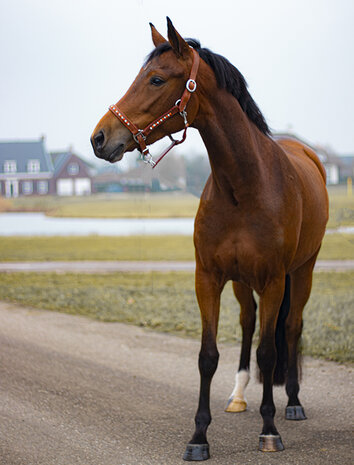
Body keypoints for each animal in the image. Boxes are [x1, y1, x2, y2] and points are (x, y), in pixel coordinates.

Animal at [90, 18, 328, 460]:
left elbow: (269, 353)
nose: (99, 137)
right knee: (249, 323)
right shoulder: (209, 278)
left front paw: (269, 430)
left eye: (156, 79)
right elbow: (208, 355)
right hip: (241, 283)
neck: (244, 187)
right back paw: (238, 395)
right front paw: (199, 436)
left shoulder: (273, 281)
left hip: (302, 272)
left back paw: (292, 403)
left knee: (291, 328)